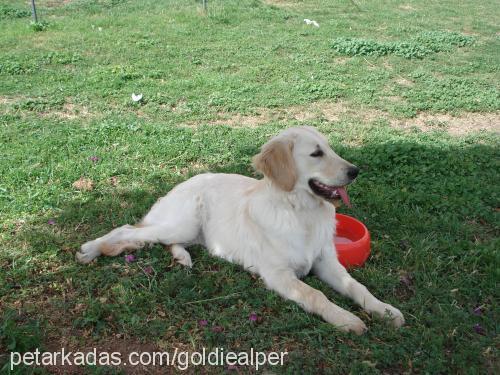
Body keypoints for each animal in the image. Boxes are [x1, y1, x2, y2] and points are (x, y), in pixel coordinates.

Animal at [76, 126, 404, 334]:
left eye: (331, 148)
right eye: (316, 154)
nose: (355, 171)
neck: (300, 213)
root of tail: (179, 184)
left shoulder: (327, 263)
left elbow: (356, 286)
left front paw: (385, 310)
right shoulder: (278, 275)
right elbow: (316, 295)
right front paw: (345, 319)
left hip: (187, 232)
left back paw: (182, 258)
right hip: (179, 223)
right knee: (126, 229)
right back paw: (91, 249)